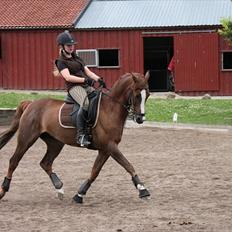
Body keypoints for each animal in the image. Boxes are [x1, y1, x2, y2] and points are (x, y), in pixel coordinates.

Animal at [0, 72, 150, 203]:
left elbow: (95, 171)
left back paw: (59, 188)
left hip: (55, 143)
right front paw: (143, 190)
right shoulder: (110, 146)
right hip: (26, 139)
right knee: (14, 161)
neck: (111, 109)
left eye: (147, 95)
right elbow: (127, 165)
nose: (140, 119)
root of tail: (30, 104)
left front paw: (80, 194)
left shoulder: (105, 149)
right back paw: (3, 190)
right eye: (137, 95)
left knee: (45, 163)